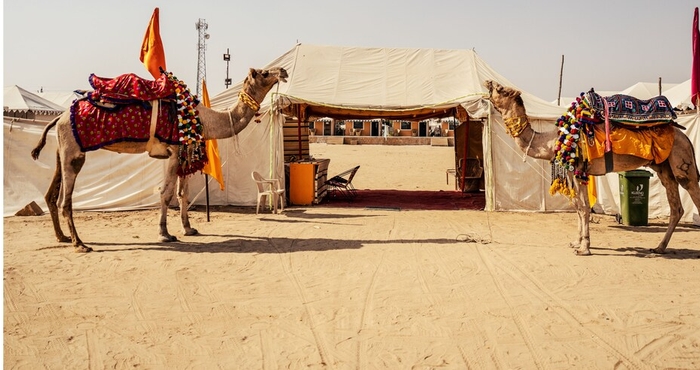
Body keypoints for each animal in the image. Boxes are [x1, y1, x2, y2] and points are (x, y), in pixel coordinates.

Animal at [31, 66, 288, 253]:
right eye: (264, 72)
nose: (283, 71)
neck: (204, 120)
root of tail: (60, 118)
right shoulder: (174, 152)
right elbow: (166, 193)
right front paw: (165, 234)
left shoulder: (184, 153)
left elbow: (183, 194)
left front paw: (189, 229)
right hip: (74, 152)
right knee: (65, 200)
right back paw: (80, 244)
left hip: (62, 150)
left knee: (51, 194)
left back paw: (63, 237)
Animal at [484, 80, 700, 256]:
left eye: (500, 89)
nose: (488, 82)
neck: (553, 140)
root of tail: (686, 138)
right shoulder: (574, 172)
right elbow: (578, 207)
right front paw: (576, 242)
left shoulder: (579, 170)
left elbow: (584, 207)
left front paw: (584, 248)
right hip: (664, 168)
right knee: (676, 207)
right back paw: (659, 248)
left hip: (683, 163)